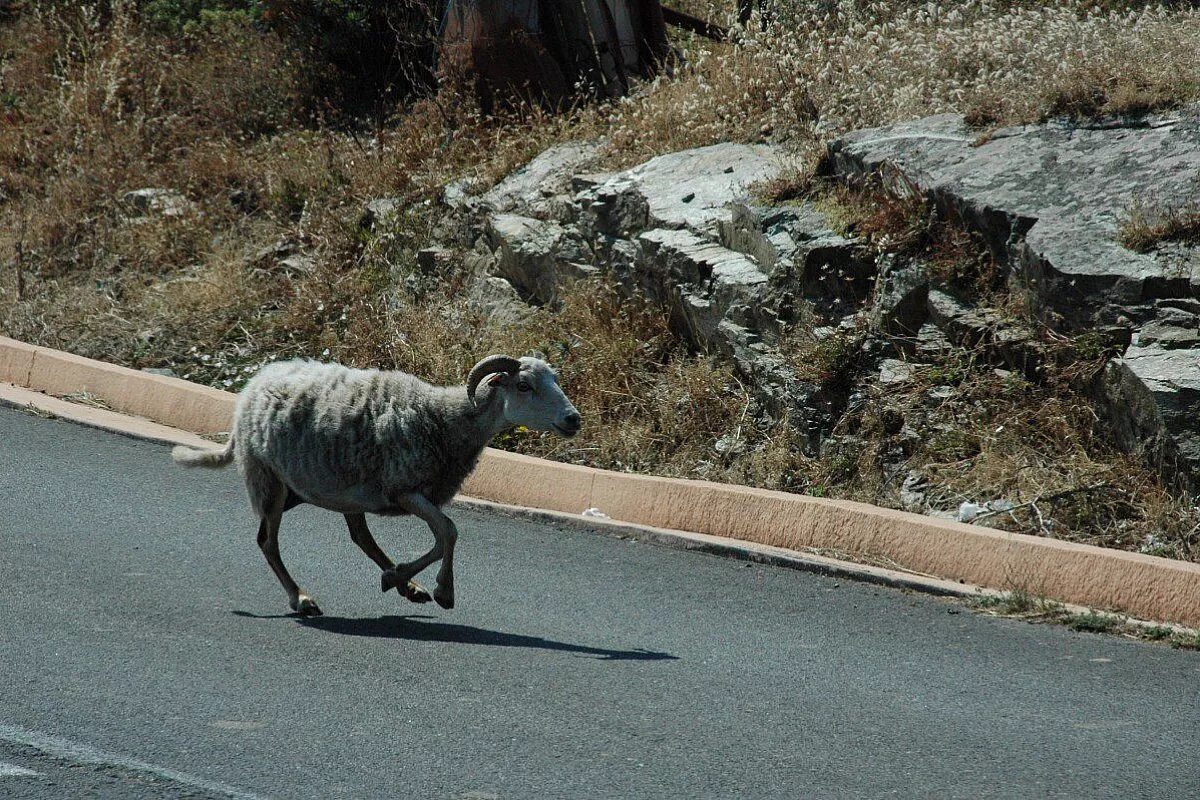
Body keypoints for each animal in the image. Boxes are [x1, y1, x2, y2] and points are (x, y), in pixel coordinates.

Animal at [171, 354, 581, 616]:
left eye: (555, 381)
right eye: (524, 385)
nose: (573, 419)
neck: (447, 419)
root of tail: (252, 386)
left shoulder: (413, 493)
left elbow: (443, 535)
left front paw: (404, 578)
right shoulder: (404, 488)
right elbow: (449, 532)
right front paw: (442, 590)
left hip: (335, 490)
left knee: (359, 537)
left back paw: (406, 587)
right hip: (269, 480)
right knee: (268, 542)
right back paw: (301, 598)